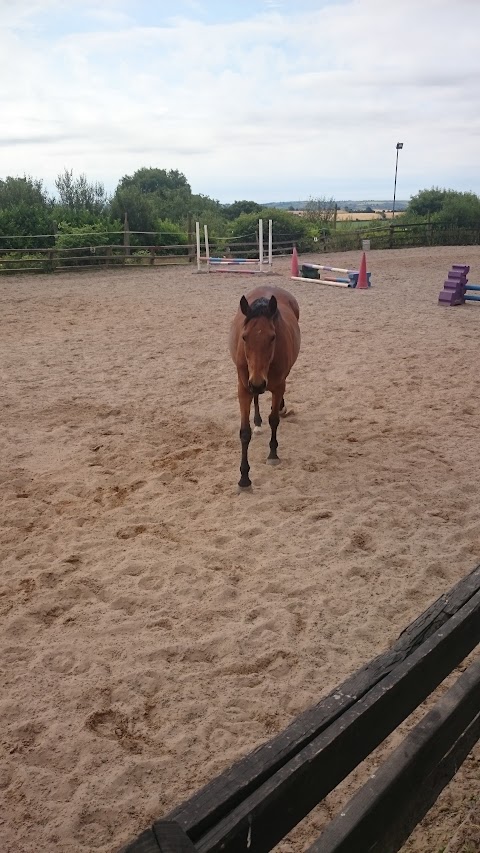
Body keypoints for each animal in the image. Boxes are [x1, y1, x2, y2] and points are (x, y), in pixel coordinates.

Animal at [229, 284, 300, 490]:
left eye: (272, 337)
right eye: (244, 337)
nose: (258, 382)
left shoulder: (278, 386)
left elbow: (274, 419)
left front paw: (273, 454)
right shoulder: (244, 387)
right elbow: (244, 432)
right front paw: (244, 478)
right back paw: (258, 421)